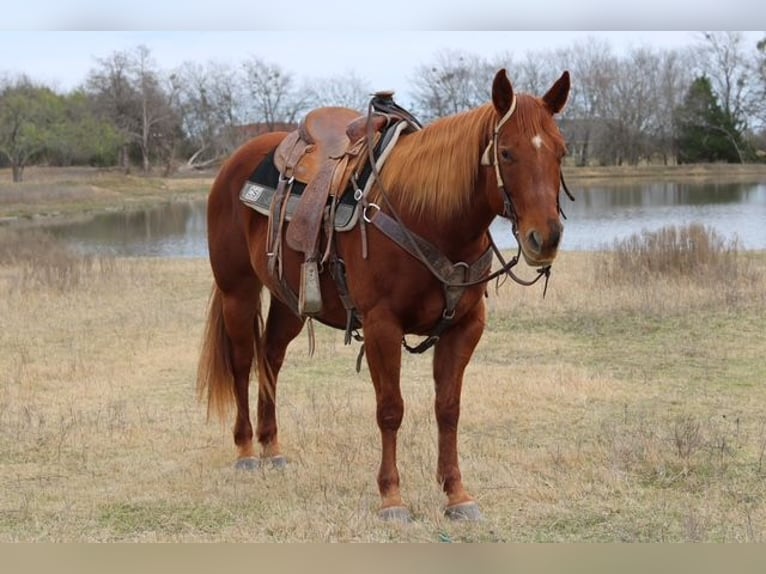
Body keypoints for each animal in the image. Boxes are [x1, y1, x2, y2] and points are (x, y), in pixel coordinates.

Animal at [197, 68, 571, 522]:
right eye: (506, 153)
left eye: (561, 152)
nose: (544, 238)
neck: (429, 218)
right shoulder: (381, 327)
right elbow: (391, 409)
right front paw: (392, 498)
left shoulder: (464, 327)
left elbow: (448, 408)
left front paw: (457, 494)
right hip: (237, 290)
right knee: (241, 362)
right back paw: (247, 450)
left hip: (290, 302)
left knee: (271, 358)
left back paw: (273, 447)